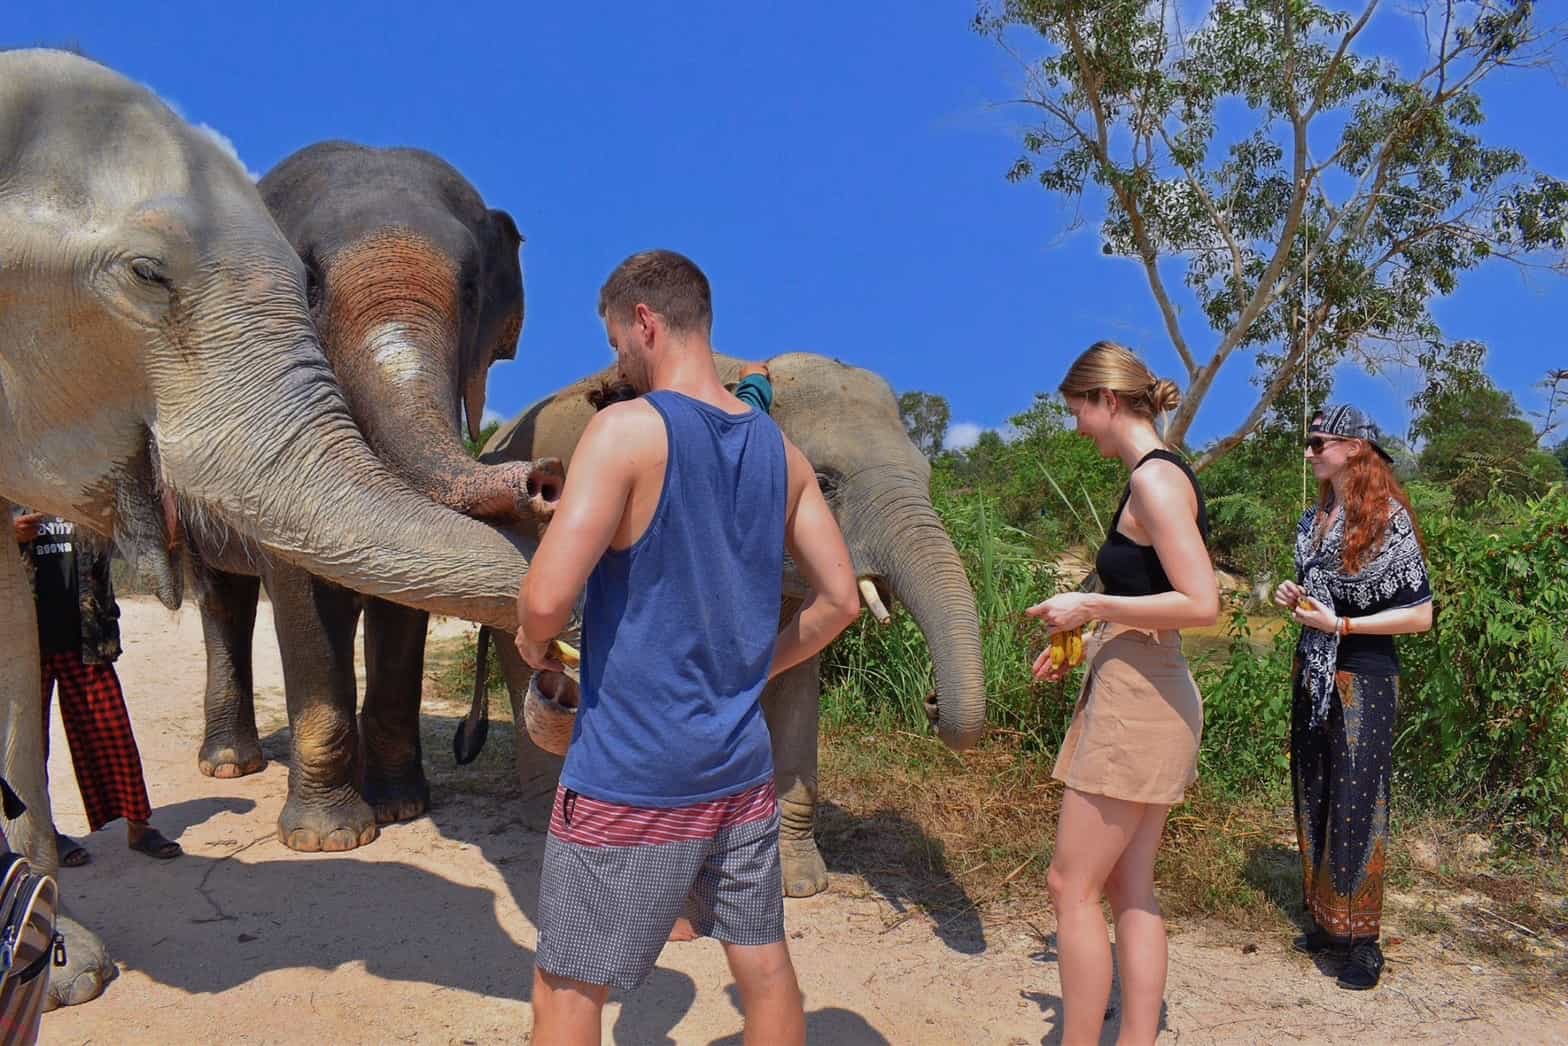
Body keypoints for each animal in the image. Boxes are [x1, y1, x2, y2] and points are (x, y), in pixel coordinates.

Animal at [189, 141, 561, 853]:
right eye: (308, 283)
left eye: (471, 290)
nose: (545, 478)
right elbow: (299, 591)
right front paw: (330, 839)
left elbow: (405, 605)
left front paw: (401, 809)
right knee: (223, 599)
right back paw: (227, 766)